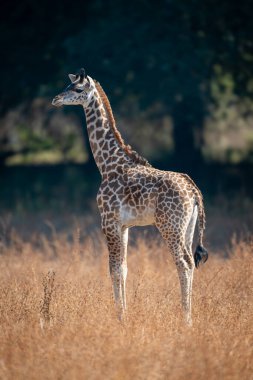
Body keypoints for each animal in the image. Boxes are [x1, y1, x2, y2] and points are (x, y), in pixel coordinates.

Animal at [52, 67, 208, 324]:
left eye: (77, 88)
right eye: (66, 85)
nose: (55, 99)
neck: (107, 164)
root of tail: (194, 190)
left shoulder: (109, 221)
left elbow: (114, 269)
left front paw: (120, 318)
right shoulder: (124, 226)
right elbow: (124, 269)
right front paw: (124, 313)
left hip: (170, 226)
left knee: (184, 263)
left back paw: (186, 320)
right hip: (188, 226)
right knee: (191, 263)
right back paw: (189, 315)